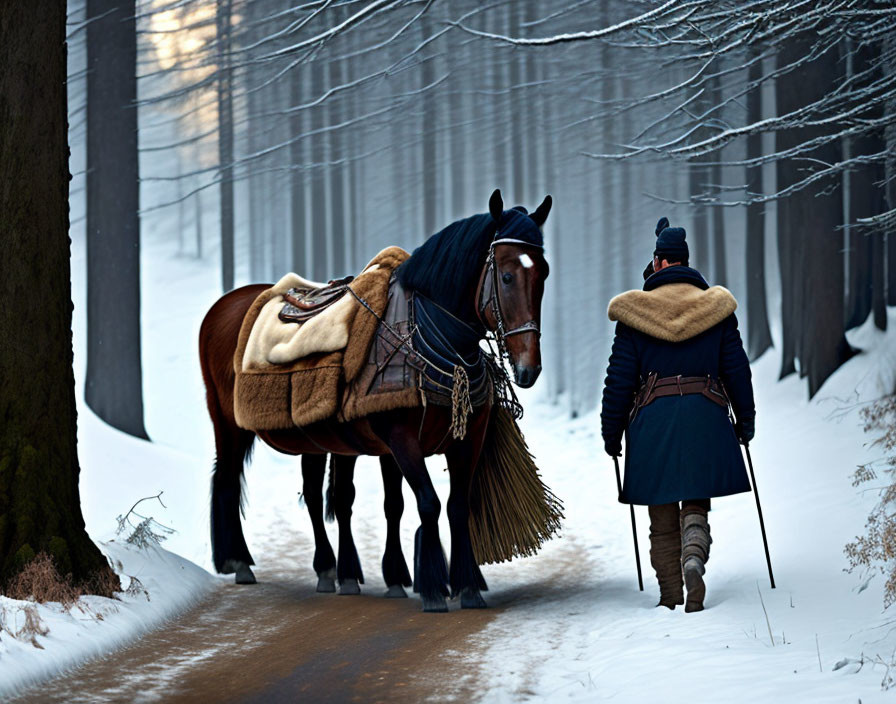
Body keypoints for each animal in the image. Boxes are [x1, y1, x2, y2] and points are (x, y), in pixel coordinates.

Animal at [201, 190, 552, 612]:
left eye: (543, 274)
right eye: (506, 275)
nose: (529, 367)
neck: (429, 336)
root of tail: (225, 305)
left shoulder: (465, 438)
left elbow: (448, 506)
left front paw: (461, 584)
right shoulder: (400, 439)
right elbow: (428, 503)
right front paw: (433, 587)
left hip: (317, 438)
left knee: (320, 496)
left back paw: (333, 570)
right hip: (228, 422)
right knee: (227, 480)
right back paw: (239, 561)